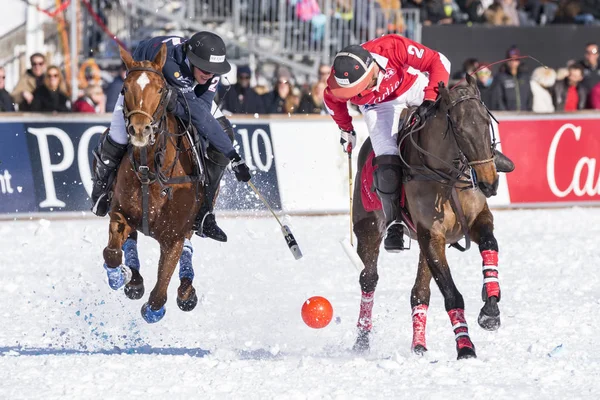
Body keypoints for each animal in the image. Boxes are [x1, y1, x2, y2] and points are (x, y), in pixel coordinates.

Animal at [99, 45, 200, 324]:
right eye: (124, 89)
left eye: (161, 90)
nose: (139, 130)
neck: (150, 171)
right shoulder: (120, 212)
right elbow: (112, 253)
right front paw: (119, 275)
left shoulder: (174, 237)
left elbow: (157, 297)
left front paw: (159, 306)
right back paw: (133, 280)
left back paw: (186, 291)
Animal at [352, 74, 502, 360]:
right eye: (458, 129)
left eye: (487, 122)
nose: (489, 182)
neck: (448, 178)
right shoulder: (431, 235)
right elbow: (452, 294)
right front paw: (465, 348)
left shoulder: (477, 219)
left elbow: (490, 245)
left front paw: (490, 308)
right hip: (368, 229)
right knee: (369, 278)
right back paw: (361, 342)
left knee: (419, 293)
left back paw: (418, 346)